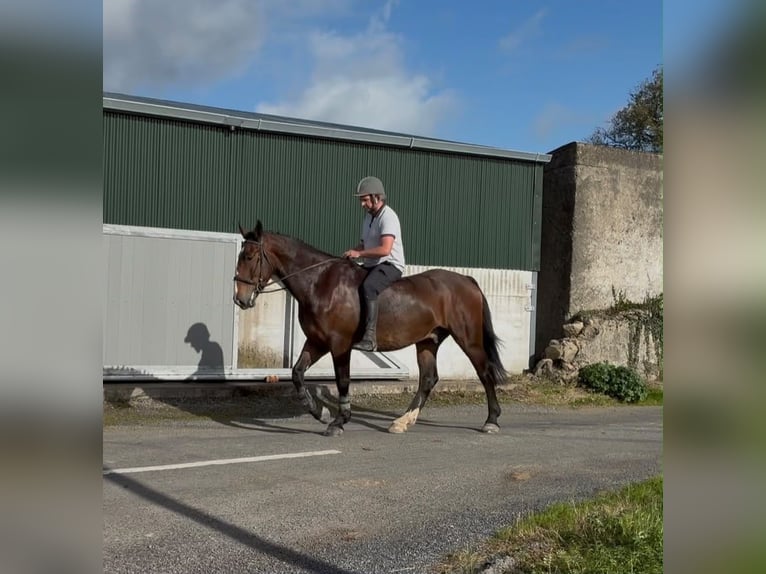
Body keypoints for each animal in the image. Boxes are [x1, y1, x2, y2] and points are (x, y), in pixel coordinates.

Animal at [233, 221, 507, 437]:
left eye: (249, 257)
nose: (240, 299)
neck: (320, 282)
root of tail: (467, 281)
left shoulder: (339, 344)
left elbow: (343, 380)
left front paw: (338, 422)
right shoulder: (317, 341)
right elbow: (297, 373)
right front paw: (320, 412)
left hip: (468, 339)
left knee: (484, 372)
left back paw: (491, 421)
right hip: (428, 340)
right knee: (428, 379)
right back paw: (402, 422)